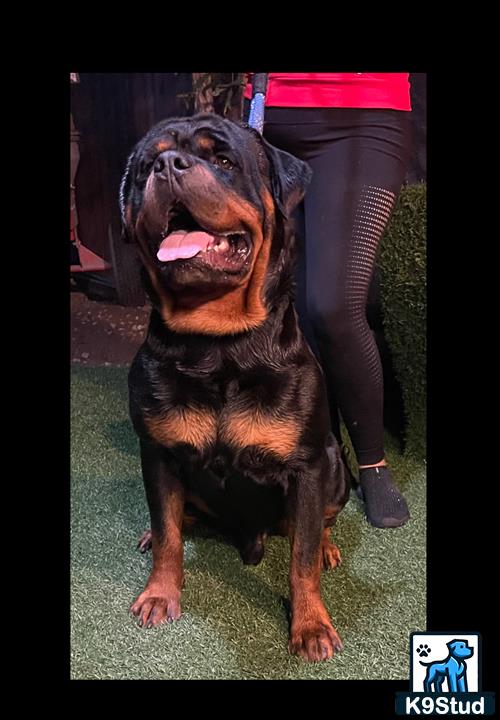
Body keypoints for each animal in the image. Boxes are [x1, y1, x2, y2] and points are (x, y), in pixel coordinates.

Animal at [119, 114, 350, 664]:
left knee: (319, 524)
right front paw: (160, 592)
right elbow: (168, 533)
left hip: (335, 465)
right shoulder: (156, 451)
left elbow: (301, 559)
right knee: (174, 516)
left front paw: (310, 625)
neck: (218, 346)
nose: (167, 164)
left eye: (222, 160)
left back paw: (329, 545)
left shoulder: (308, 466)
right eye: (144, 167)